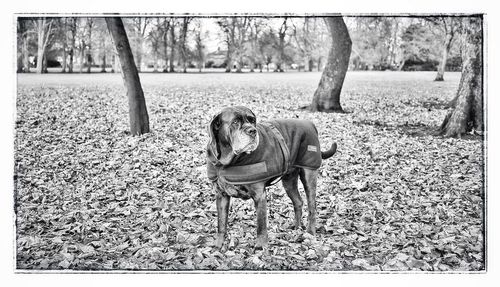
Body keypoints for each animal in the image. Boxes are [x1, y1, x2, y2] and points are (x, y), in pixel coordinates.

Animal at [205, 107, 338, 249]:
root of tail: (310, 124)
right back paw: (297, 227)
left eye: (252, 120)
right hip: (289, 181)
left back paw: (310, 232)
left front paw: (260, 247)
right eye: (235, 122)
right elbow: (221, 223)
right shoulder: (221, 195)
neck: (226, 162)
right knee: (298, 202)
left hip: (309, 175)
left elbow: (261, 226)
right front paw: (218, 246)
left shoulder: (259, 196)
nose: (252, 131)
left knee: (312, 206)